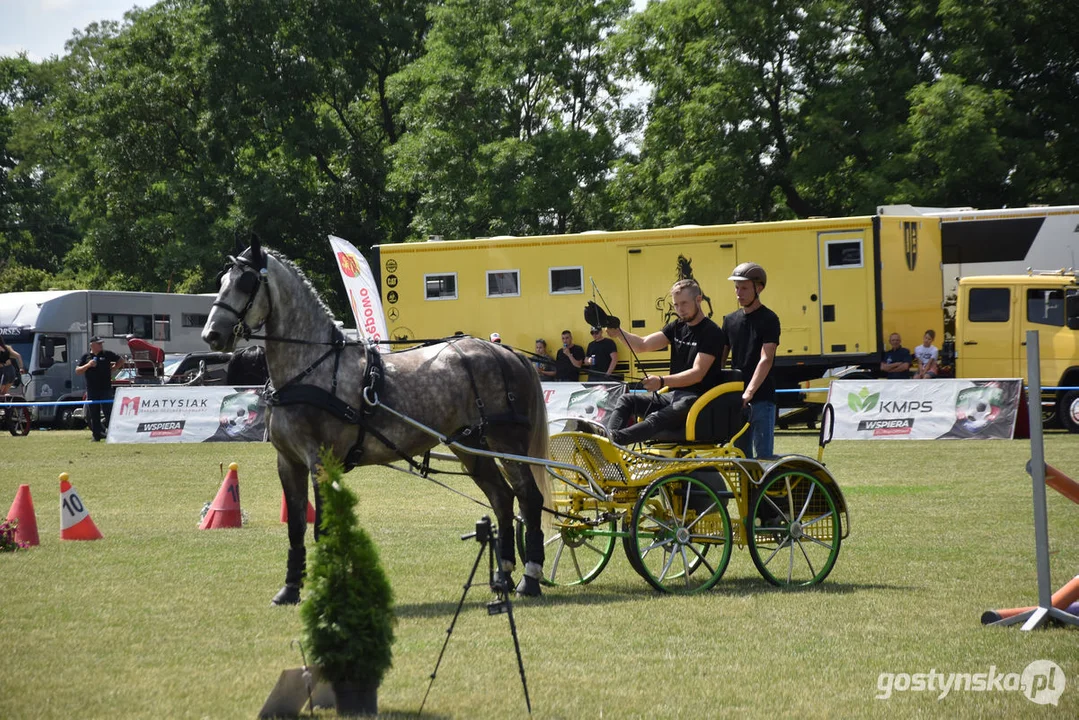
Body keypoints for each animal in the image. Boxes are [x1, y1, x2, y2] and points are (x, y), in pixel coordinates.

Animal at [202, 237, 552, 604]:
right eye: (221, 281)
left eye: (246, 283)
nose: (212, 335)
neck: (311, 368)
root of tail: (509, 354)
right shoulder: (288, 461)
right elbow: (296, 528)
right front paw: (290, 589)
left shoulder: (320, 461)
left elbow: (321, 526)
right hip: (471, 445)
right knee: (502, 498)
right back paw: (503, 577)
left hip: (506, 441)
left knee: (529, 498)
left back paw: (529, 578)